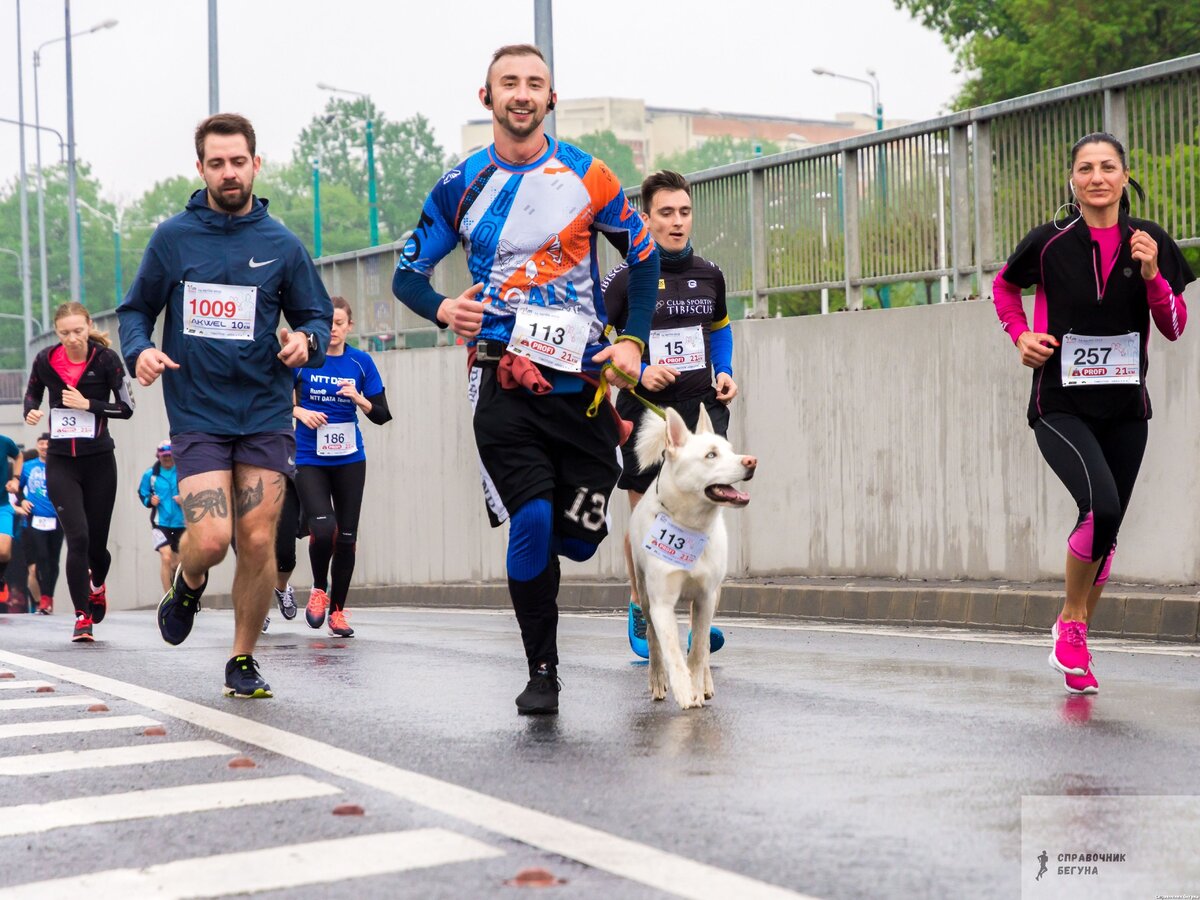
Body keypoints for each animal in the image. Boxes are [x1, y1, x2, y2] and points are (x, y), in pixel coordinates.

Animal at [628, 408, 758, 710]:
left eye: (730, 450)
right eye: (711, 455)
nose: (751, 461)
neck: (690, 527)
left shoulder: (705, 597)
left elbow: (698, 649)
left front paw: (697, 688)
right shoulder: (661, 603)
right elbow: (673, 651)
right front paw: (683, 690)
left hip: (714, 595)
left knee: (705, 644)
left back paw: (706, 684)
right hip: (644, 592)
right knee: (652, 638)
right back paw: (657, 679)